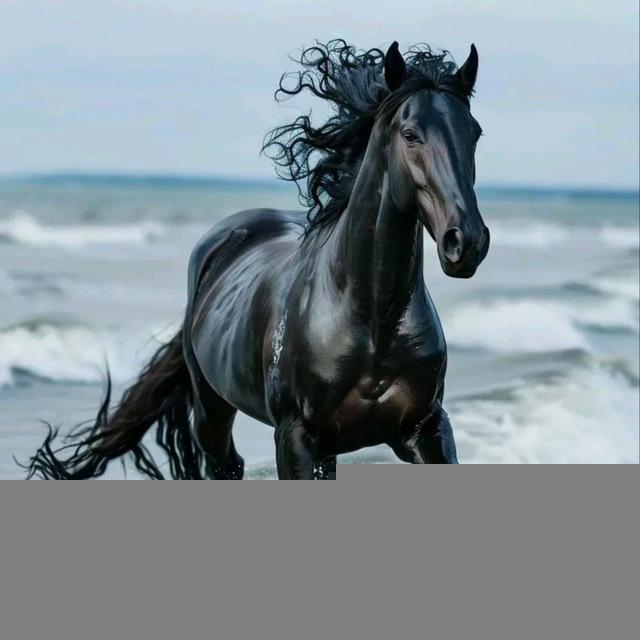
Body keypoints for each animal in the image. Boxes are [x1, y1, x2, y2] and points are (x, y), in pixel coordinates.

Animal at [24, 39, 489, 480]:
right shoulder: (295, 435)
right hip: (212, 411)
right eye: (410, 135)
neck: (371, 319)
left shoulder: (424, 429)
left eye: (475, 133)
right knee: (225, 464)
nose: (466, 243)